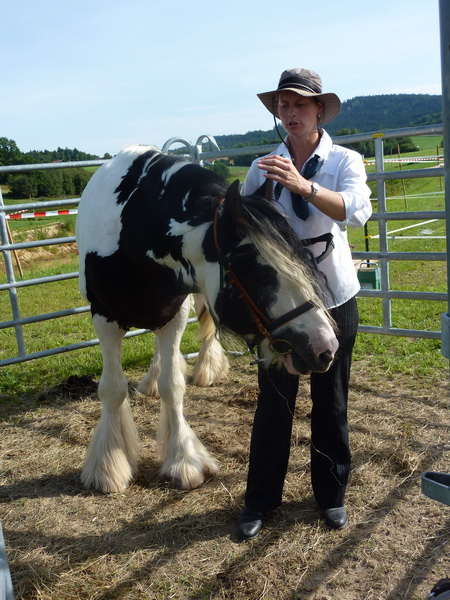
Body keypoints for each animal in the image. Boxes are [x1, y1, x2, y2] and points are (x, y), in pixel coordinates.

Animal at [75, 145, 338, 494]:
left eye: (306, 259)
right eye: (261, 273)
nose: (325, 347)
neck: (134, 227)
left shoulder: (174, 312)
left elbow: (173, 385)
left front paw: (184, 461)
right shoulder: (104, 318)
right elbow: (113, 389)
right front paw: (108, 467)